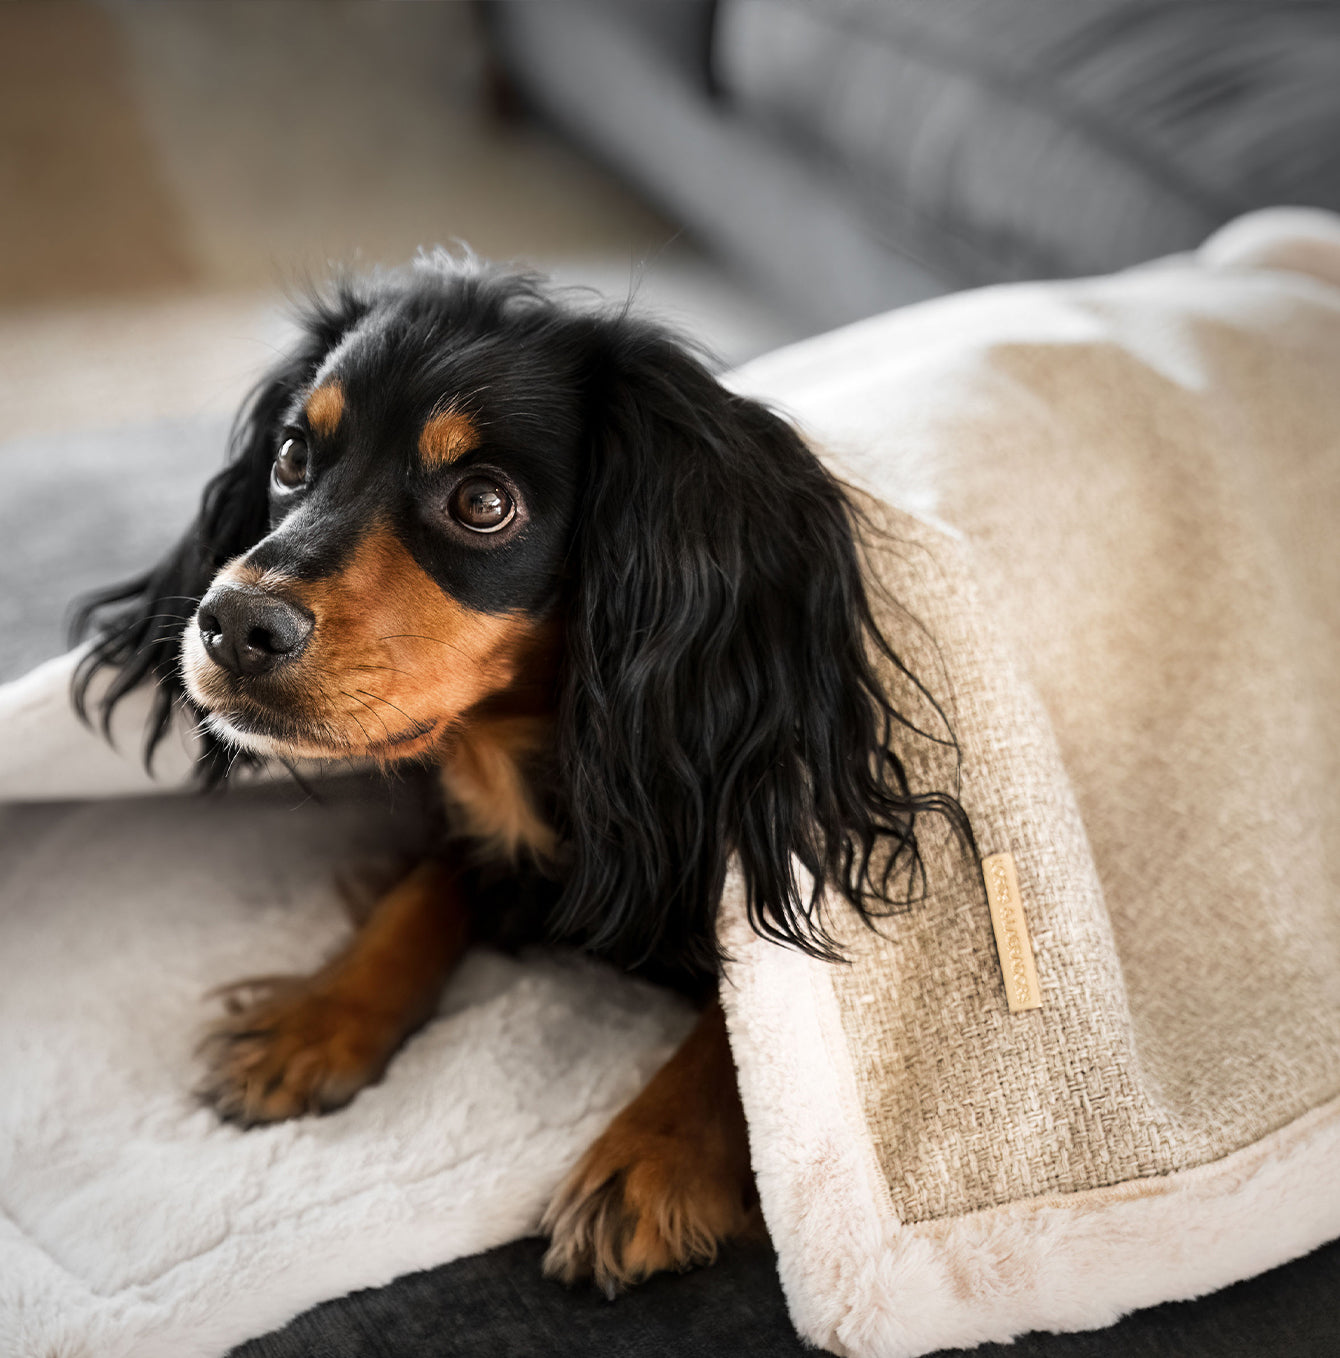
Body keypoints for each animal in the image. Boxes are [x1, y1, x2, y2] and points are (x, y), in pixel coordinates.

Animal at [70, 256, 966, 1292]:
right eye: (293, 455)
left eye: (483, 502)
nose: (231, 625)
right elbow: (422, 890)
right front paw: (315, 1018)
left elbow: (742, 1047)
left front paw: (651, 1160)